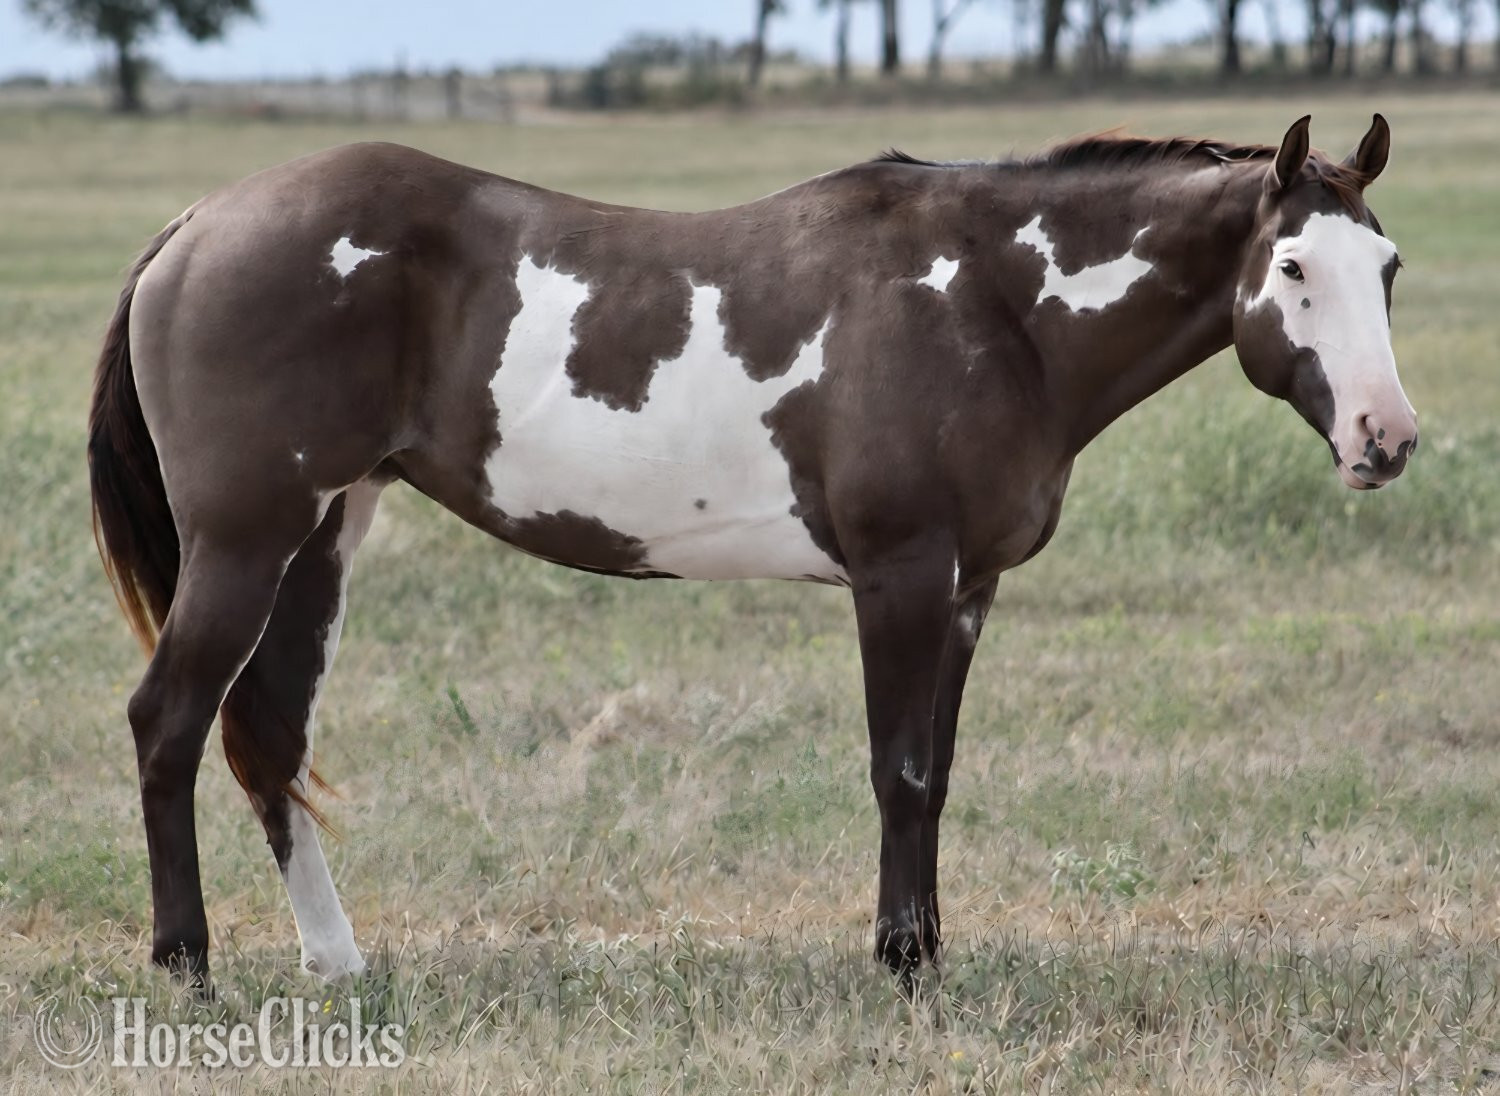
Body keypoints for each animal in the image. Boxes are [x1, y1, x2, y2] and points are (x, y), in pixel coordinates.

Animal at [88, 114, 1416, 989]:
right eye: (1293, 265)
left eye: (1390, 267)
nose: (1385, 437)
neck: (989, 303)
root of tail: (195, 227)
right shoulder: (900, 574)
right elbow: (902, 770)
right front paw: (902, 965)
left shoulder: (968, 589)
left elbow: (939, 772)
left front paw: (927, 950)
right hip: (247, 540)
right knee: (169, 723)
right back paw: (186, 965)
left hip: (322, 537)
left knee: (268, 740)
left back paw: (339, 962)